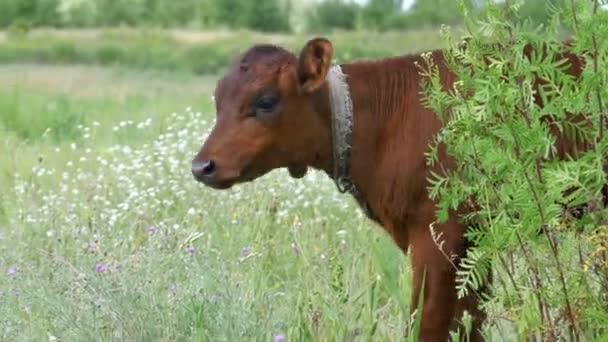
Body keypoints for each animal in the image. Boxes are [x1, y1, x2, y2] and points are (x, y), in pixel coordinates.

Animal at [190, 36, 588, 340]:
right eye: (217, 100)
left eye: (266, 100)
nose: (201, 166)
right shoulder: (473, 244)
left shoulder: (438, 237)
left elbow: (427, 327)